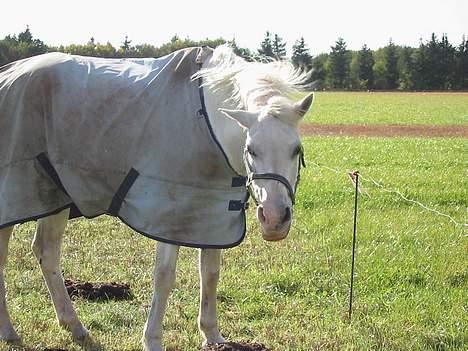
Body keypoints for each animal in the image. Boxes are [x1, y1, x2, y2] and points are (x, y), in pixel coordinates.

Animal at [0, 45, 314, 350]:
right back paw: (10, 331)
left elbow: (210, 273)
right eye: (251, 149)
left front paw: (212, 335)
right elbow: (164, 277)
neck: (208, 119)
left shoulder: (213, 213)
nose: (275, 220)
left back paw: (75, 329)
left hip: (53, 197)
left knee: (46, 252)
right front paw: (152, 340)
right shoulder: (169, 214)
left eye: (296, 149)